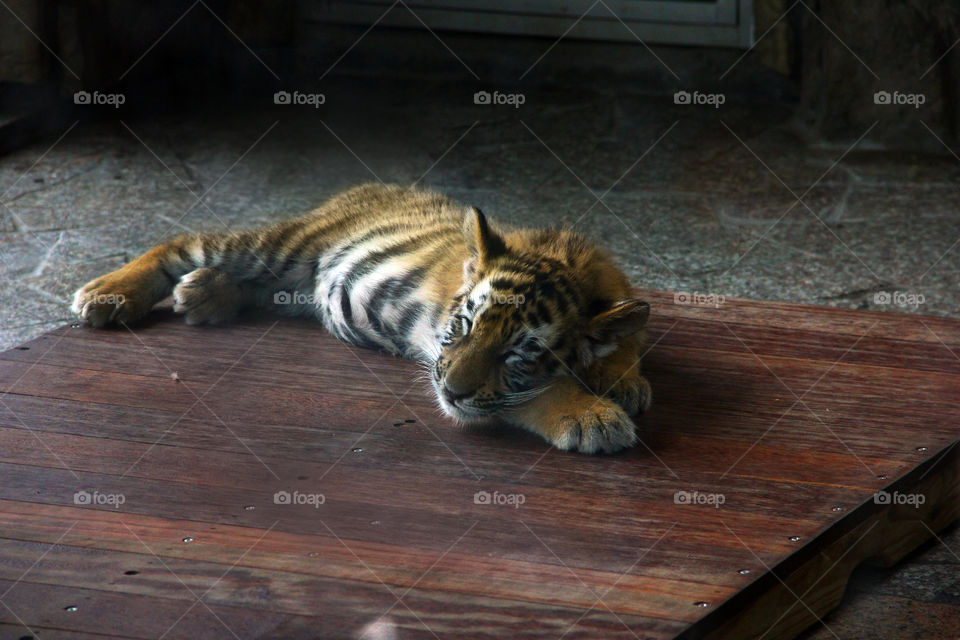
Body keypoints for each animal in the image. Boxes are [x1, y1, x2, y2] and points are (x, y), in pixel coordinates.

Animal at [72, 183, 652, 454]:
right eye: (463, 326)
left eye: (518, 354)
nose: (453, 392)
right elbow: (532, 396)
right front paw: (592, 416)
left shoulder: (615, 283)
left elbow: (630, 331)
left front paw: (624, 381)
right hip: (282, 244)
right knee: (183, 243)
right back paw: (108, 295)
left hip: (294, 275)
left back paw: (202, 294)